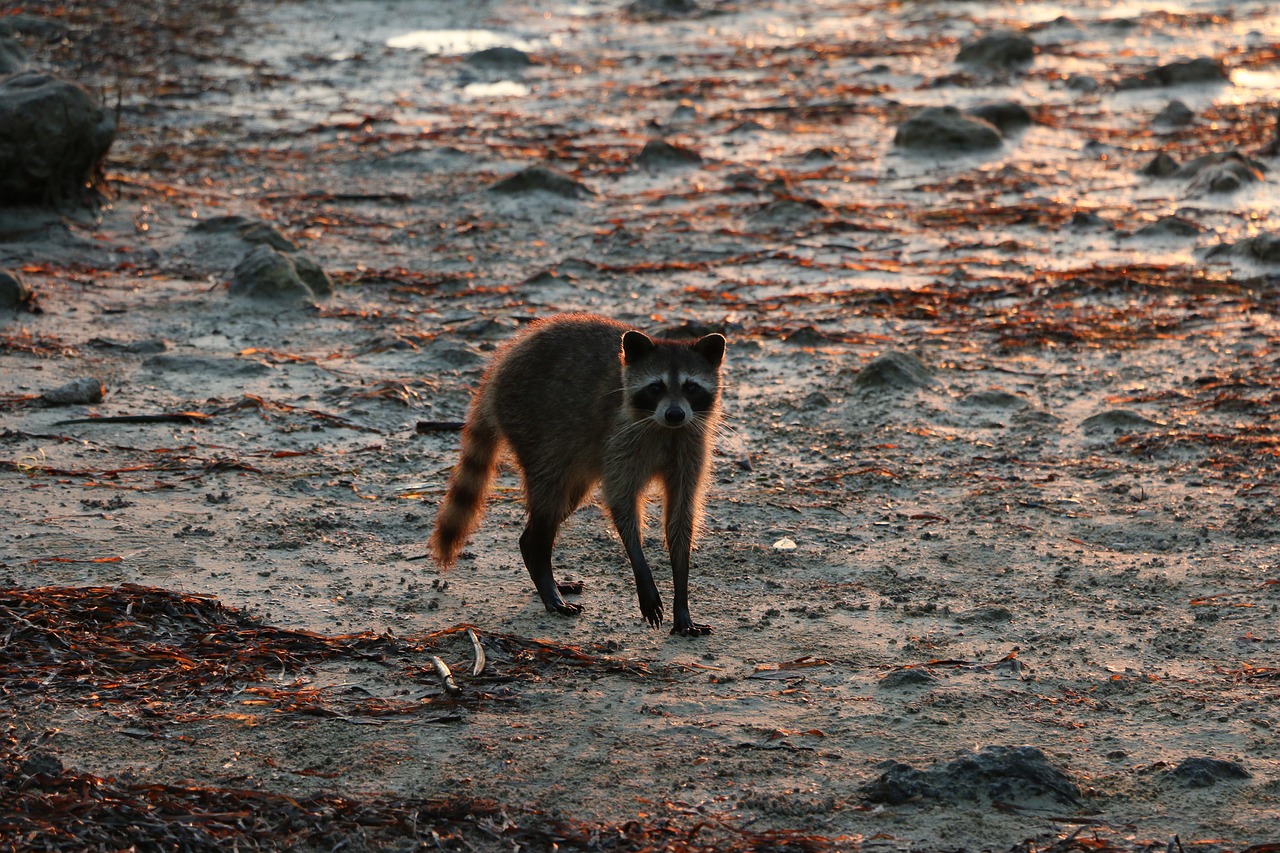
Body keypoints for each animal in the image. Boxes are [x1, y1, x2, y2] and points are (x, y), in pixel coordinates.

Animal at [430, 311, 727, 630]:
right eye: (655, 387)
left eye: (691, 387)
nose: (675, 414)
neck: (666, 429)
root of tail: (501, 362)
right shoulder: (621, 440)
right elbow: (622, 504)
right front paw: (642, 572)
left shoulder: (689, 447)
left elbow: (681, 516)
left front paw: (682, 602)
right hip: (532, 426)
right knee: (549, 501)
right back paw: (544, 573)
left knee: (564, 501)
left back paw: (537, 559)